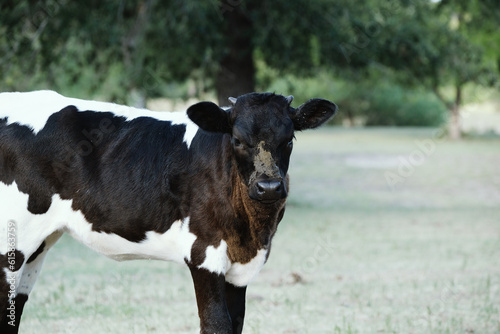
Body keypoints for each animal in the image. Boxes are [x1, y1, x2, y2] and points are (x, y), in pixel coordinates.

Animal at [0, 90, 338, 332]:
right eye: (238, 139)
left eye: (289, 139)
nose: (269, 187)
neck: (252, 234)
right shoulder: (204, 253)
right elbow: (216, 324)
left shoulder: (239, 270)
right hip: (11, 244)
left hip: (39, 245)